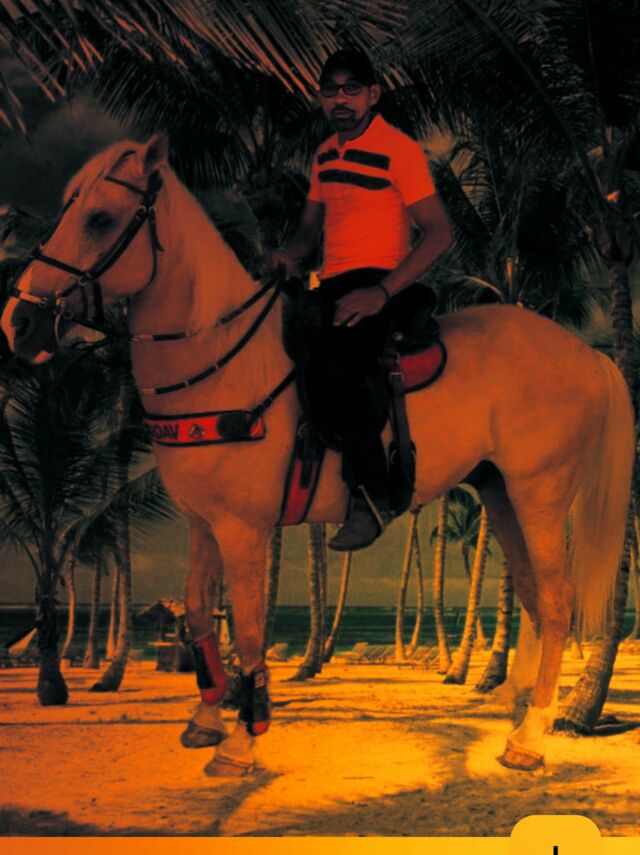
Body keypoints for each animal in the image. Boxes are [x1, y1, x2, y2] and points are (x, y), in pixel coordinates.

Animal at [1, 133, 633, 774]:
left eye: (100, 219)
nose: (19, 322)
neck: (223, 361)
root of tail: (586, 353)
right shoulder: (204, 522)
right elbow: (199, 609)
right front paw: (205, 720)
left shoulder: (245, 528)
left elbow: (248, 629)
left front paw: (243, 739)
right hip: (499, 492)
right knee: (532, 597)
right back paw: (524, 712)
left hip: (540, 493)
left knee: (557, 599)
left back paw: (530, 736)